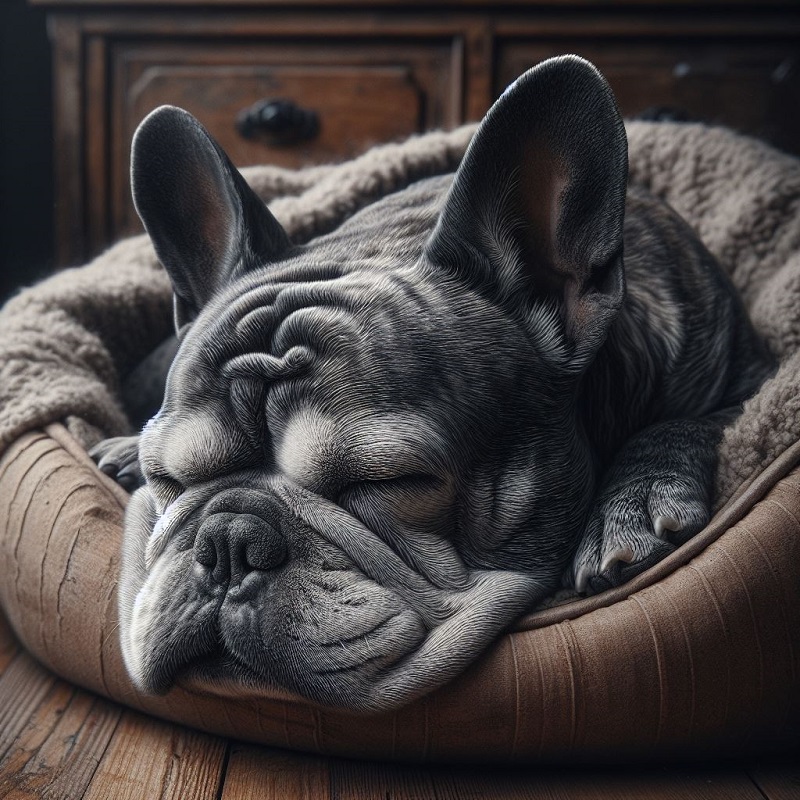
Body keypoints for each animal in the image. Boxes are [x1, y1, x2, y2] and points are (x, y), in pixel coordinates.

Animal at [90, 53, 772, 708]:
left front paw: (631, 505)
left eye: (393, 482)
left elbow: (692, 422)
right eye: (168, 480)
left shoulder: (750, 374)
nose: (228, 541)